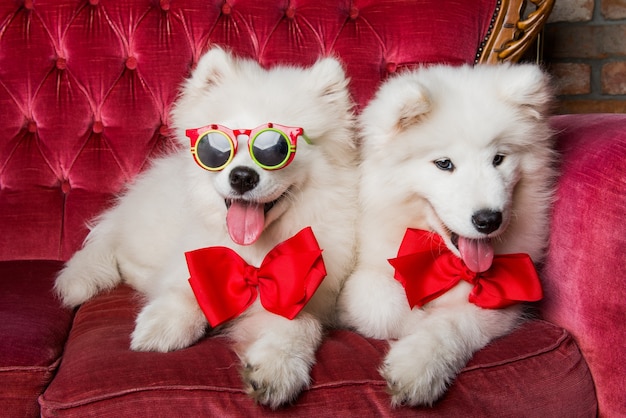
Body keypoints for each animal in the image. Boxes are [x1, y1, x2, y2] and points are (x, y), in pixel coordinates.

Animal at [53, 46, 356, 408]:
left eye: (277, 148)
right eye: (218, 148)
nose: (242, 177)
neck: (255, 249)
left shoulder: (305, 297)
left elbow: (300, 327)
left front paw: (276, 369)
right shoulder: (193, 257)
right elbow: (186, 290)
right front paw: (163, 326)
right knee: (122, 256)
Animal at [338, 63, 552, 406]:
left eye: (498, 159)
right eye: (444, 163)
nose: (488, 219)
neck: (442, 259)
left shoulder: (504, 300)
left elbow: (452, 322)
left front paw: (417, 362)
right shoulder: (363, 277)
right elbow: (383, 308)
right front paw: (415, 326)